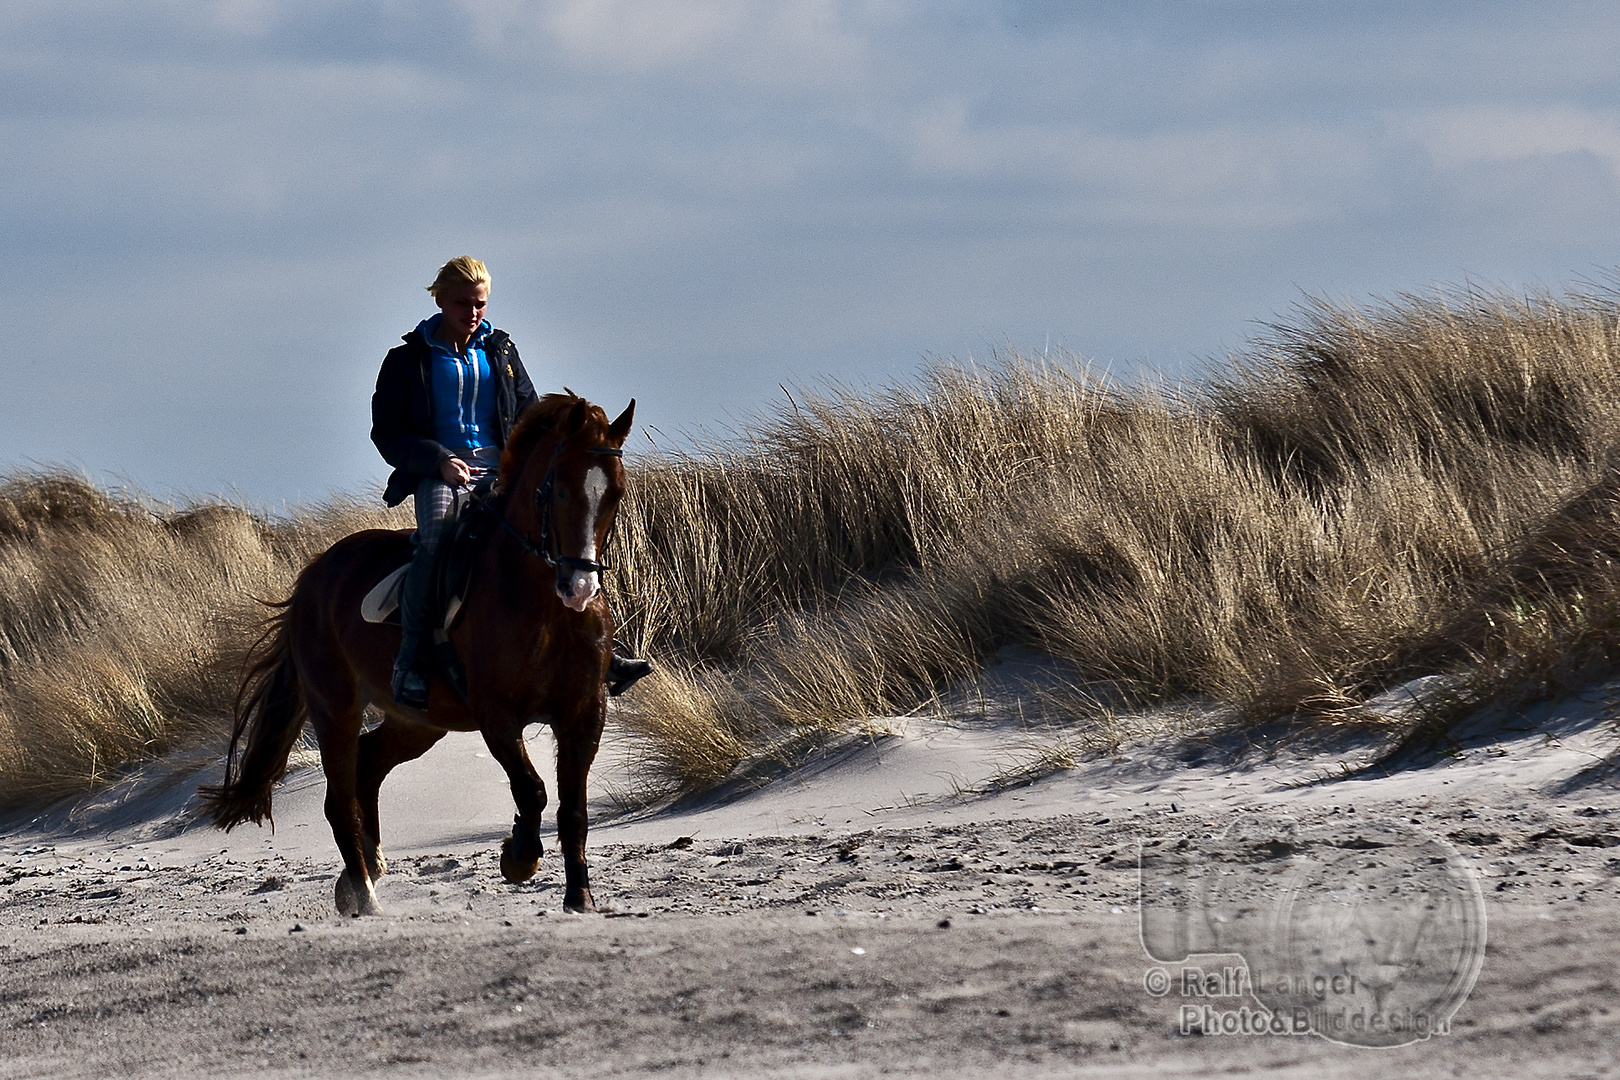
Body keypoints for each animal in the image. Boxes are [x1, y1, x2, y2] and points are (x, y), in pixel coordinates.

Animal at [199, 393, 635, 919]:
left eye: (614, 494)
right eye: (561, 493)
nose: (580, 588)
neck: (541, 604)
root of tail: (313, 577)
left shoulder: (584, 711)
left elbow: (573, 810)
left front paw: (580, 899)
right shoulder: (496, 713)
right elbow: (531, 789)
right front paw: (518, 858)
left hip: (420, 721)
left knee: (369, 762)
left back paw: (367, 866)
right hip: (336, 707)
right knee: (339, 798)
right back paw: (364, 893)